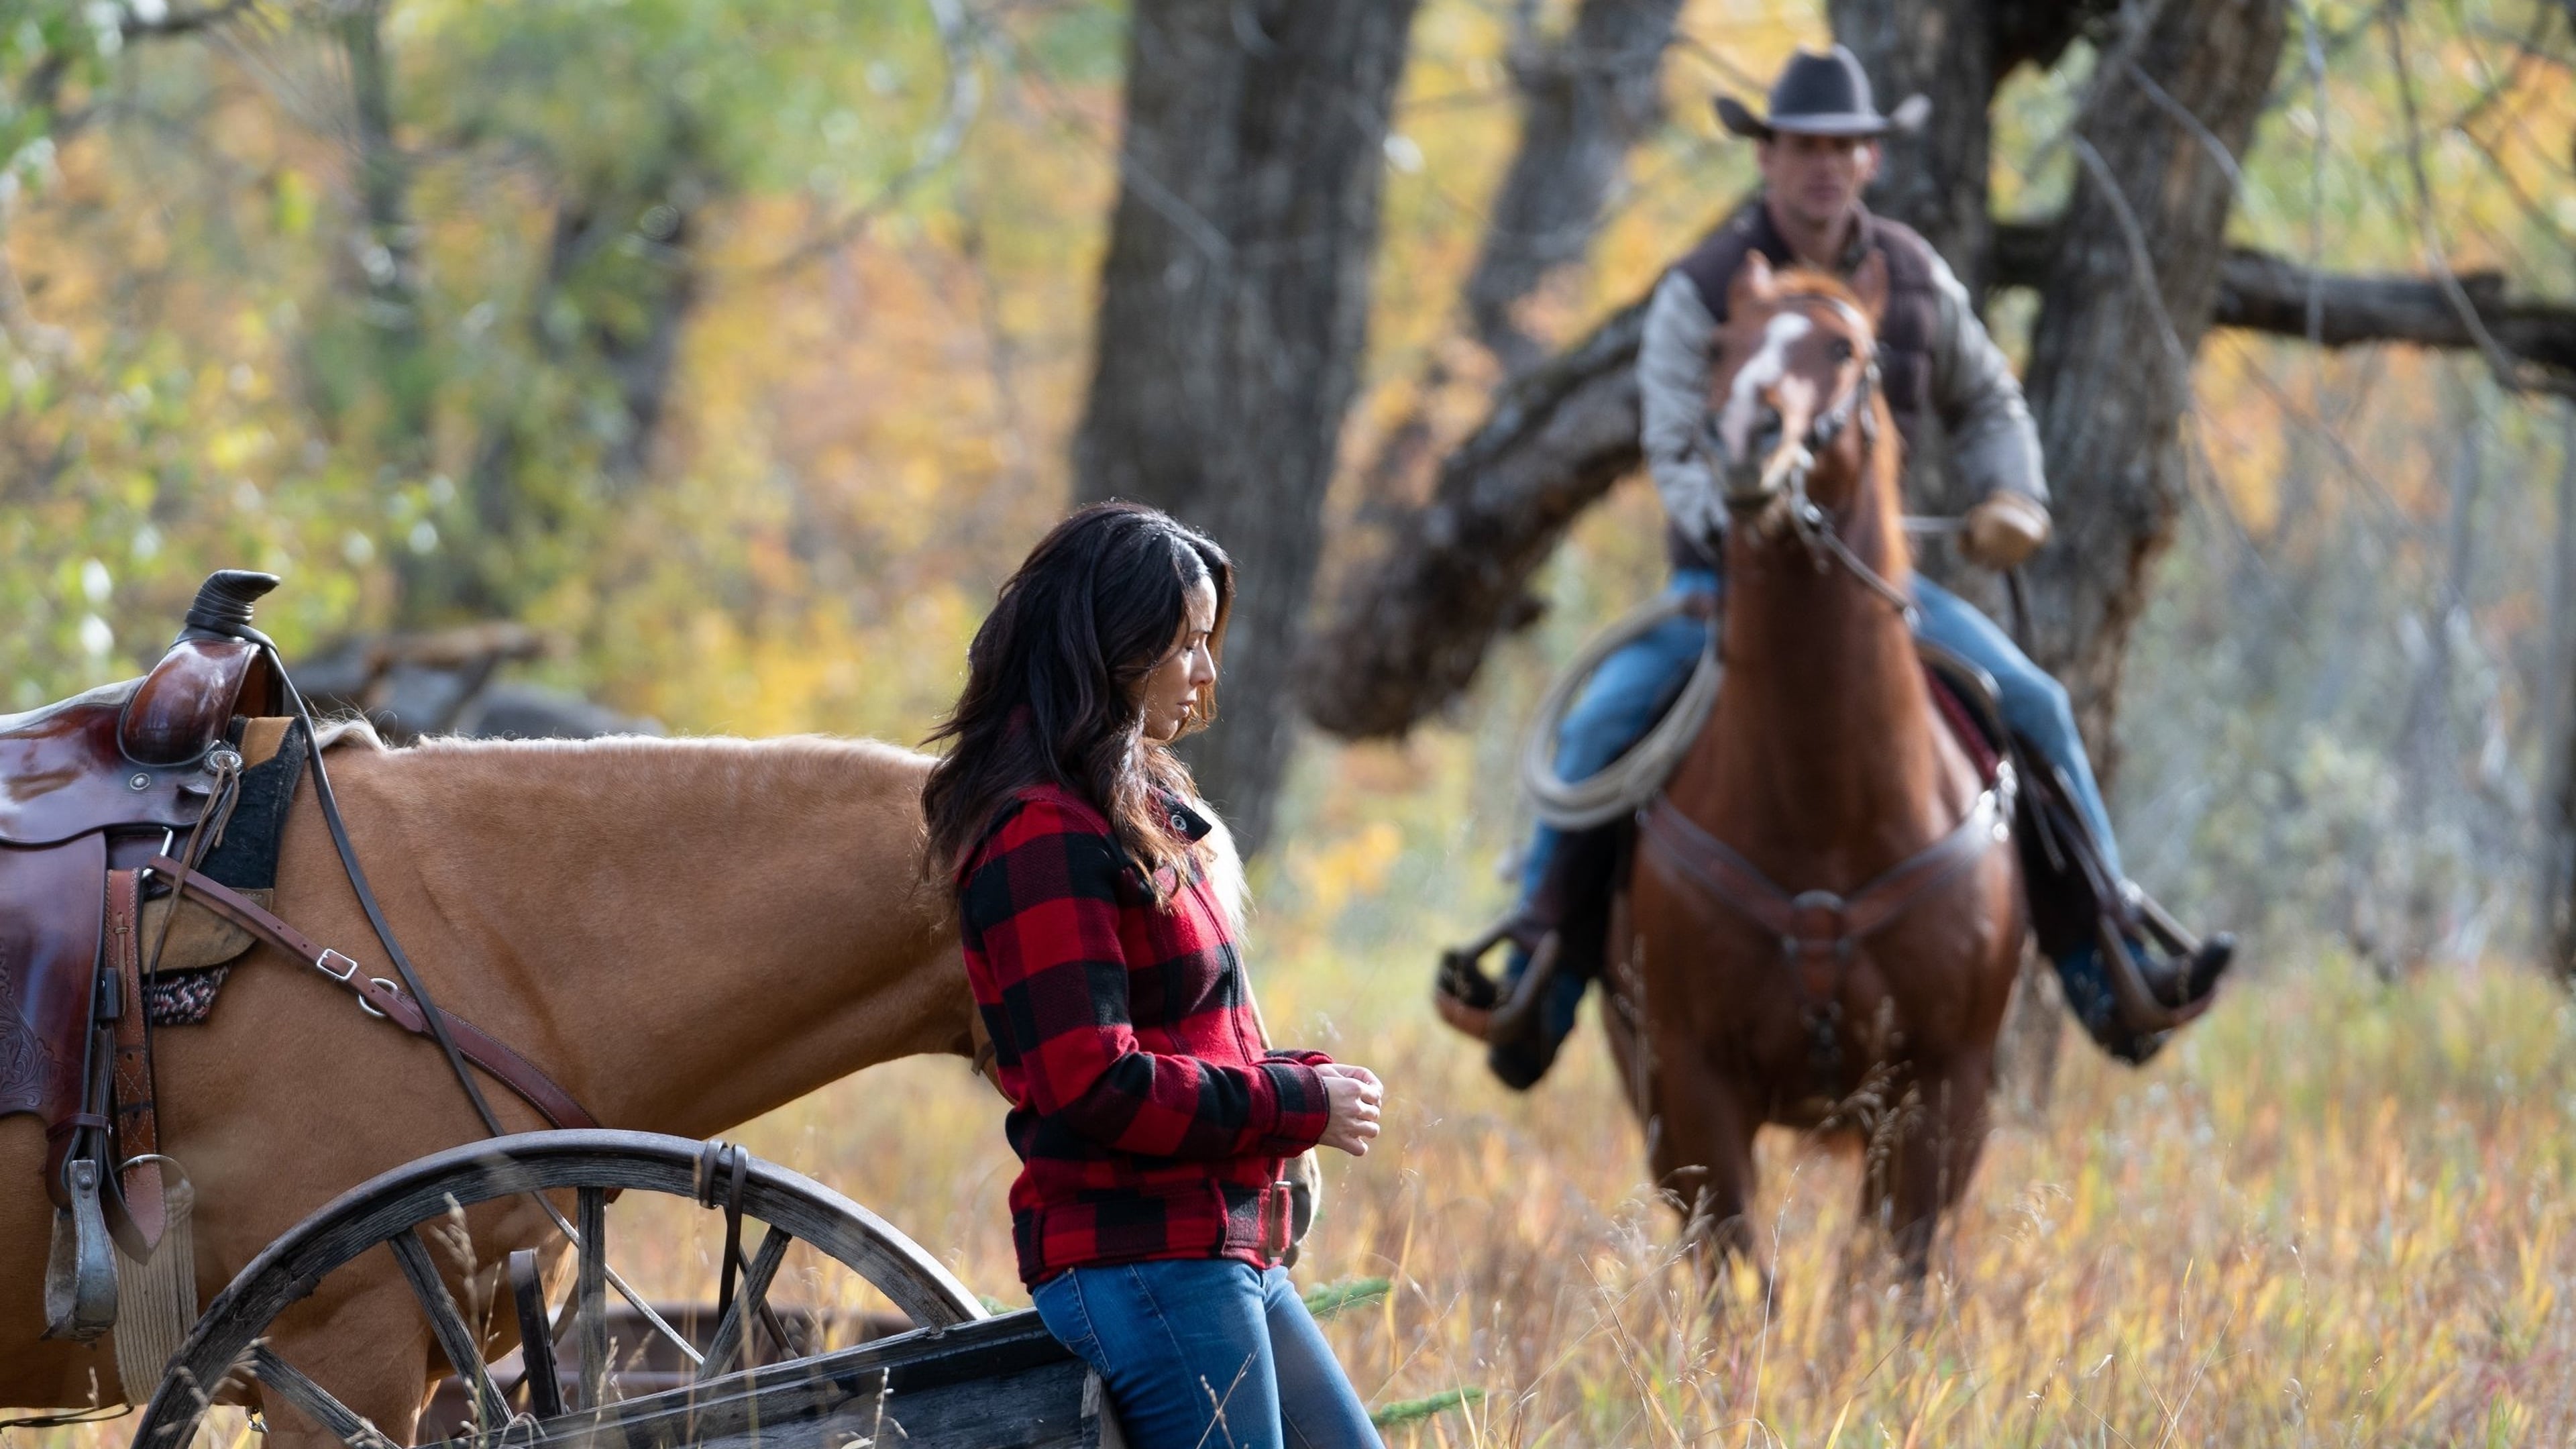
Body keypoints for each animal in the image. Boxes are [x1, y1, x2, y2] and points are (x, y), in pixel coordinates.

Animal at [1617, 254, 2019, 1279]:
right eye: (1720, 342)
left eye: (1845, 349)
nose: (1743, 441)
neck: (1826, 811)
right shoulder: (1692, 1084)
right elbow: (1738, 1274)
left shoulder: (1943, 1087)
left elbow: (1889, 1277)